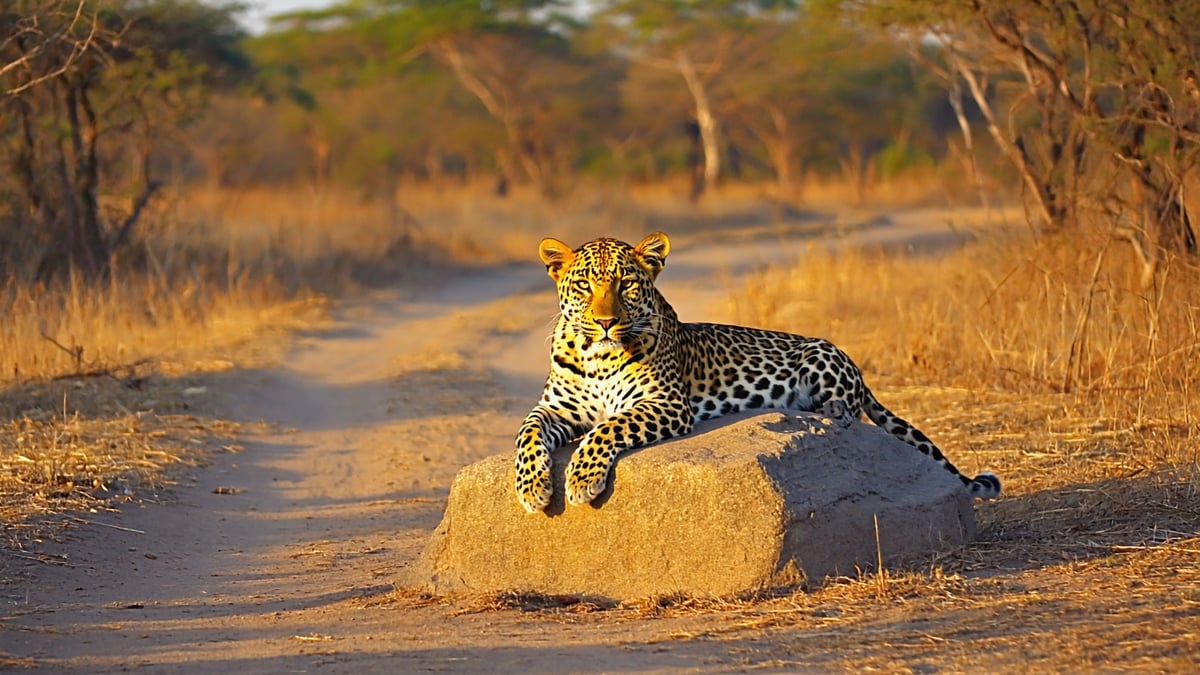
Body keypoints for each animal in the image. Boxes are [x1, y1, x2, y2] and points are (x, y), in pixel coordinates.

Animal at [514, 231, 1001, 513]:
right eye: (584, 286)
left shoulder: (665, 403)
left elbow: (607, 429)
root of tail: (861, 373)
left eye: (627, 284)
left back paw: (826, 411)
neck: (597, 356)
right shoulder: (556, 409)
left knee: (850, 409)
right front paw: (533, 488)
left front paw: (581, 479)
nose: (605, 322)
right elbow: (527, 432)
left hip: (821, 353)